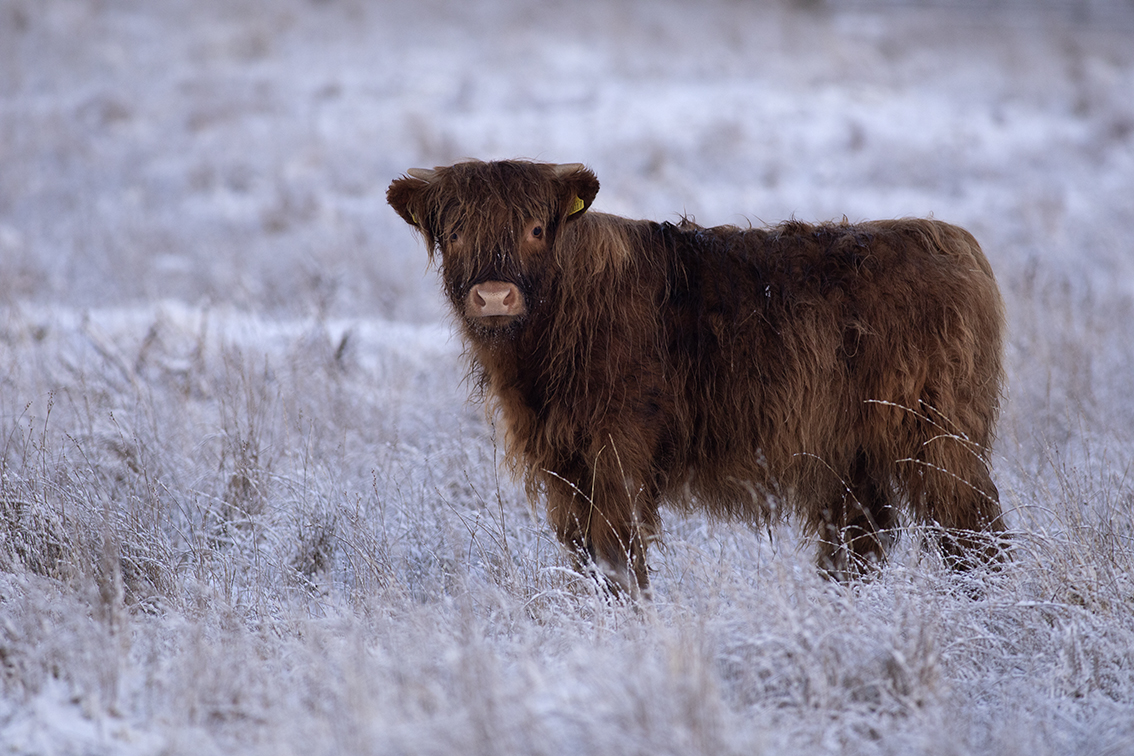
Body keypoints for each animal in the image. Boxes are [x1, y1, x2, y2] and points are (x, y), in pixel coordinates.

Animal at [387, 160, 1002, 598]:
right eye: (455, 233)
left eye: (537, 229)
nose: (494, 296)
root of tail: (947, 237)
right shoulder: (561, 459)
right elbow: (582, 550)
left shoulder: (619, 445)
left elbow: (616, 547)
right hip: (851, 454)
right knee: (858, 539)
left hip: (939, 438)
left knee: (971, 529)